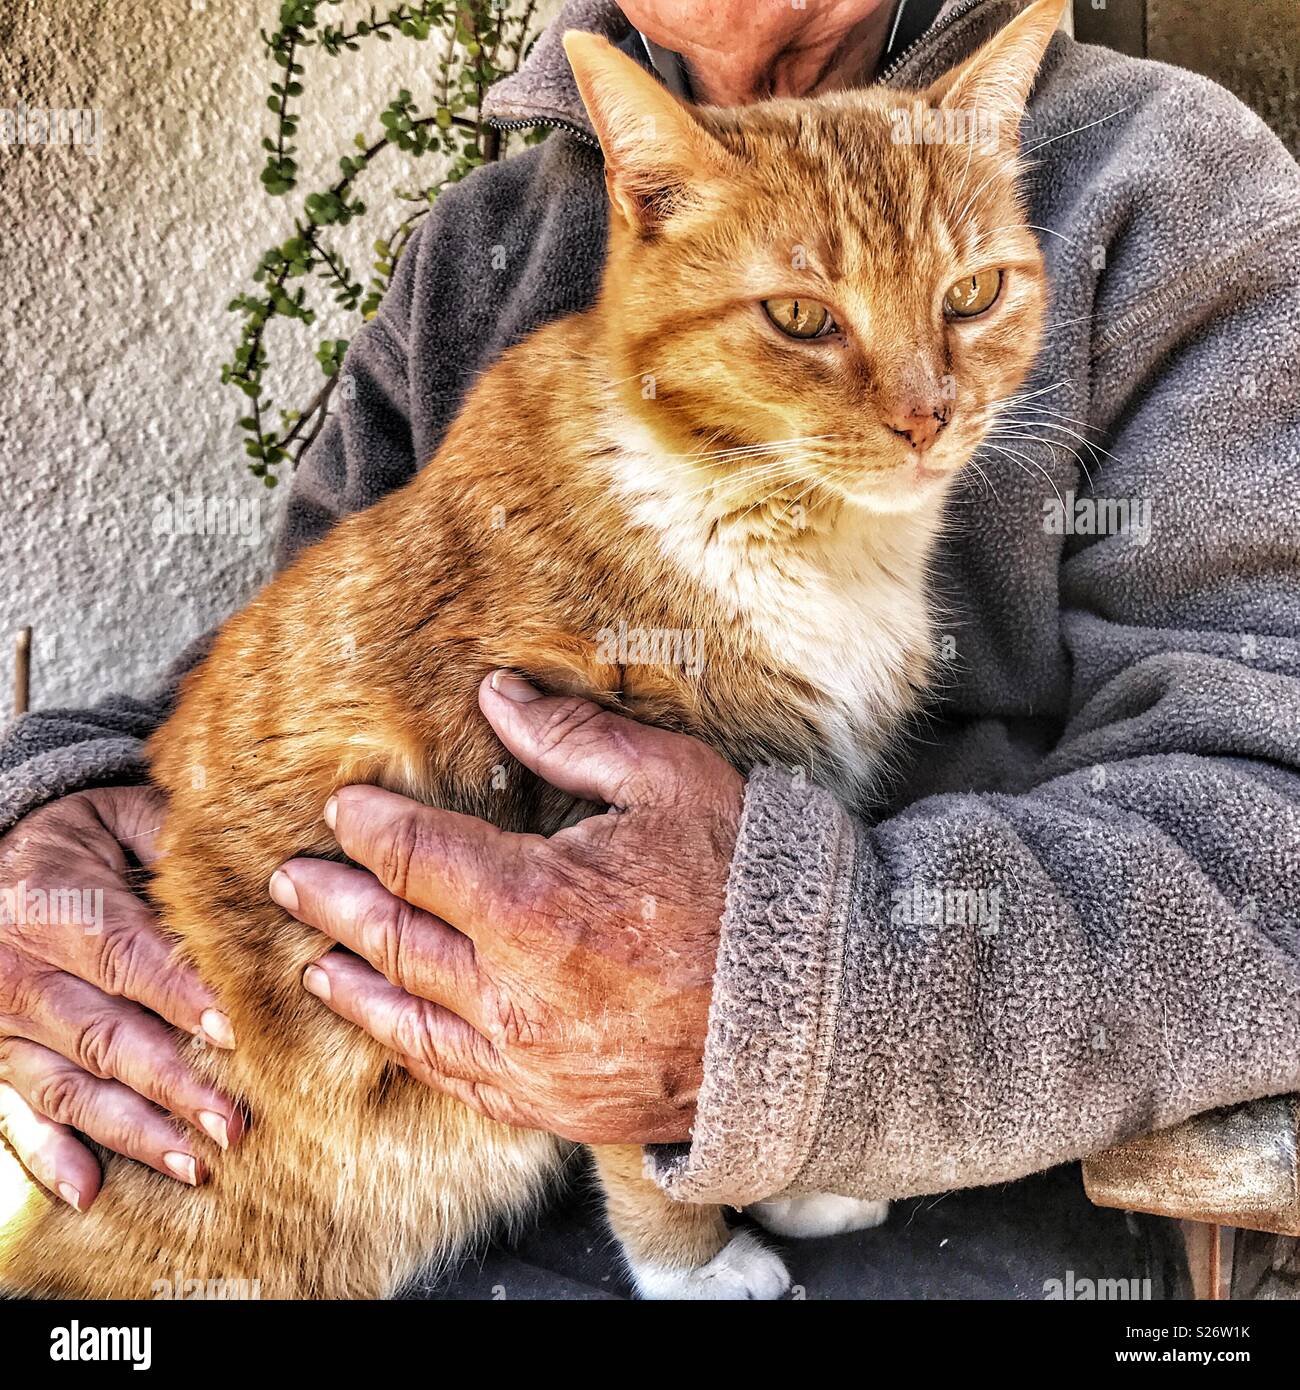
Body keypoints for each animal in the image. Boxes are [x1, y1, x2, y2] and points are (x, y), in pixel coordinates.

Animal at [0, 0, 1062, 1301]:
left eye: (972, 294)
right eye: (801, 318)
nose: (928, 418)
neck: (803, 535)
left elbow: (725, 1045)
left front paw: (790, 1175)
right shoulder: (554, 862)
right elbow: (616, 1094)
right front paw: (692, 1256)